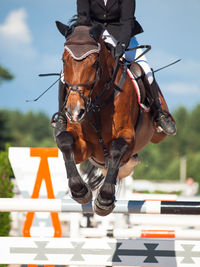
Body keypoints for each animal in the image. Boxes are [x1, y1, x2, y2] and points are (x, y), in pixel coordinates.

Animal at [55, 21, 168, 218]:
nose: (74, 112)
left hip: (157, 132)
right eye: (63, 61)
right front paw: (80, 191)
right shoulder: (84, 148)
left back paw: (164, 122)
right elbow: (65, 141)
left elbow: (116, 149)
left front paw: (105, 200)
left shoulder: (127, 137)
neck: (98, 103)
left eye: (94, 63)